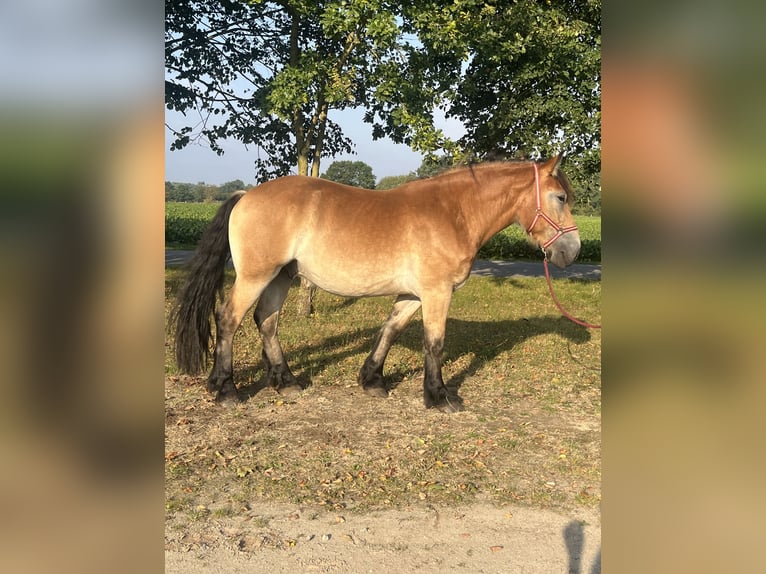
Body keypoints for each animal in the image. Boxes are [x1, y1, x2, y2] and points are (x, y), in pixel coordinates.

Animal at [171, 154, 584, 414]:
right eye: (560, 197)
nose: (572, 251)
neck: (453, 213)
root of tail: (246, 195)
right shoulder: (436, 293)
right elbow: (434, 344)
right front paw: (439, 397)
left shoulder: (412, 294)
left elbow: (390, 330)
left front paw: (372, 380)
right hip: (256, 276)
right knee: (229, 319)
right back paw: (225, 389)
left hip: (281, 277)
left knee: (267, 322)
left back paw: (286, 381)